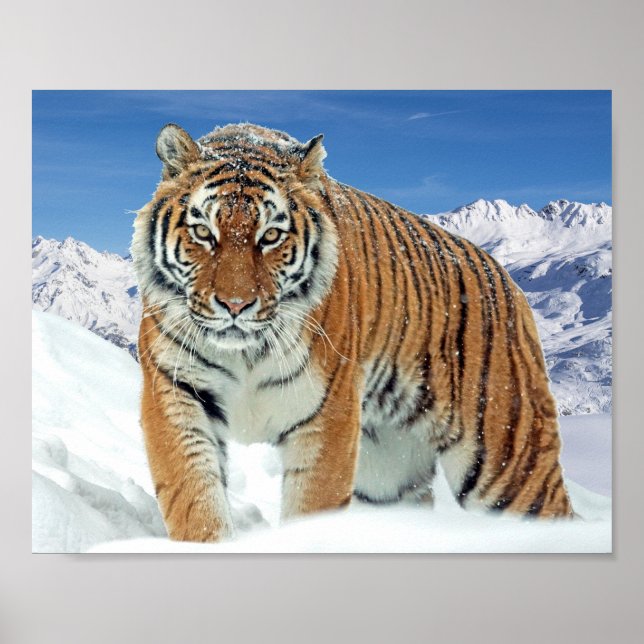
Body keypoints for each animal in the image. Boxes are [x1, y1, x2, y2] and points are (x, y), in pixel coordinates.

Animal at [131, 122, 573, 542]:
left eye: (270, 236)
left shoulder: (327, 414)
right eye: (204, 233)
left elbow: (313, 506)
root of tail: (506, 278)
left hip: (508, 459)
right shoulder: (175, 391)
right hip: (388, 474)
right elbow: (194, 498)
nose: (235, 305)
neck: (246, 353)